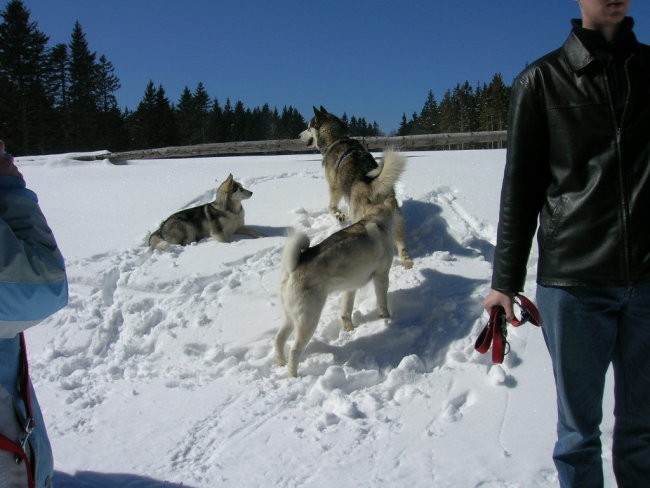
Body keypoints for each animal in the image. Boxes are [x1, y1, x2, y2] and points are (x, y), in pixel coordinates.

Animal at [272, 194, 394, 378]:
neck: (375, 219)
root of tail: (293, 268)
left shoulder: (350, 288)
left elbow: (346, 311)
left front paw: (349, 329)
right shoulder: (381, 276)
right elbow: (382, 302)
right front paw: (387, 318)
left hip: (290, 318)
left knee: (278, 340)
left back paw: (281, 363)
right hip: (308, 321)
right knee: (294, 351)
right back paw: (293, 375)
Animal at [298, 105, 410, 268]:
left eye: (308, 127)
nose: (298, 135)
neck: (336, 139)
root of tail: (371, 184)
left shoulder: (334, 187)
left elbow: (331, 206)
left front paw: (338, 215)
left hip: (358, 216)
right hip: (397, 219)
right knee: (402, 245)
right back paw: (407, 261)